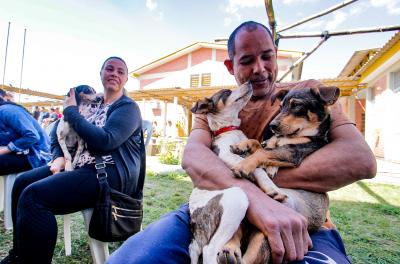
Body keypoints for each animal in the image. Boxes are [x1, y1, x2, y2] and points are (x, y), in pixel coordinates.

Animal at [188, 84, 338, 264]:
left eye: (296, 106)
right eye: (226, 92)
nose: (249, 83)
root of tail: (194, 225)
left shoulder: (291, 151)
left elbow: (261, 150)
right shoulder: (225, 154)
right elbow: (259, 159)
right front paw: (265, 181)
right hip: (237, 202)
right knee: (212, 249)